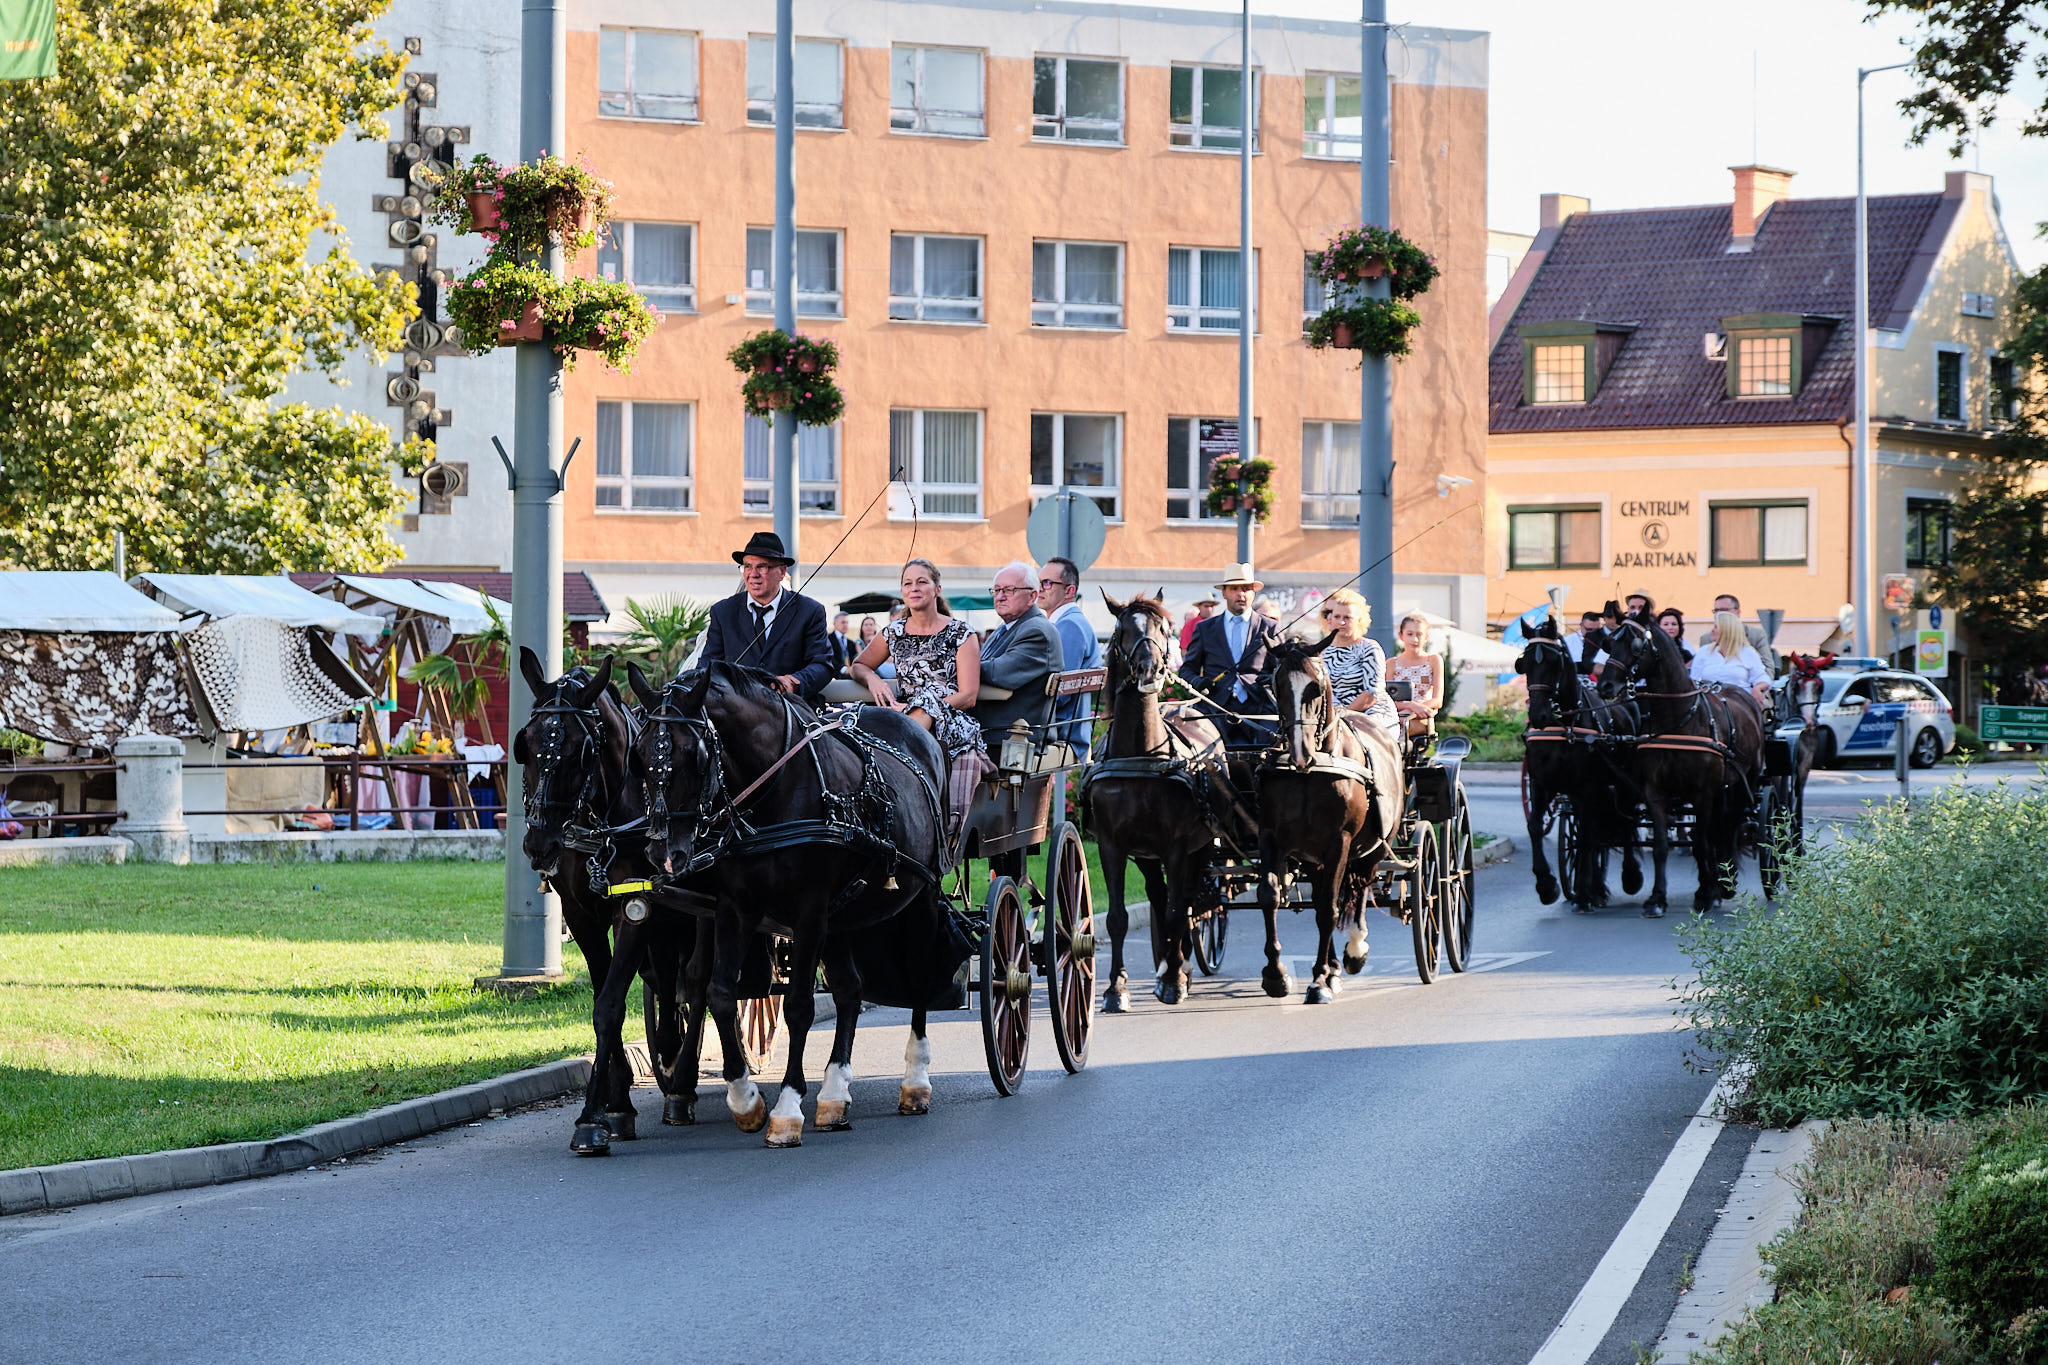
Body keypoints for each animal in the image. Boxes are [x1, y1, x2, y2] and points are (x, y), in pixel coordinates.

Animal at [507, 650, 708, 1154]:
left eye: (581, 749)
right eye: (525, 744)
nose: (538, 844)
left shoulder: (635, 908)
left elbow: (611, 1005)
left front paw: (592, 1116)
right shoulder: (582, 917)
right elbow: (603, 996)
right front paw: (616, 1104)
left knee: (700, 984)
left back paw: (681, 1085)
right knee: (669, 982)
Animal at [630, 663, 958, 1146]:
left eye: (695, 754)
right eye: (638, 755)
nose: (661, 851)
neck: (777, 790)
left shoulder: (809, 910)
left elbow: (799, 1005)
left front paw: (786, 1109)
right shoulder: (736, 907)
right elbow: (719, 992)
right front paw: (745, 1099)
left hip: (922, 900)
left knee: (918, 978)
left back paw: (915, 1082)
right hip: (843, 914)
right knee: (849, 988)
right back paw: (834, 1094)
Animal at [1089, 593, 1228, 1010]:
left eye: (1163, 628)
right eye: (1122, 629)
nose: (1148, 667)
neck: (1142, 756)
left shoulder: (1178, 847)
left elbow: (1175, 912)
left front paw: (1173, 980)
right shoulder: (1112, 845)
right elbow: (1117, 917)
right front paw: (1115, 988)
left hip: (1201, 847)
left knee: (1186, 902)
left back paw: (1179, 966)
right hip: (1147, 855)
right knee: (1160, 894)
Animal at [1253, 638, 1400, 1002]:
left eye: (1316, 688)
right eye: (1277, 686)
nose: (1300, 753)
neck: (1314, 768)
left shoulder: (1339, 841)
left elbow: (1328, 910)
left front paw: (1319, 980)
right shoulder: (1270, 836)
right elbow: (1270, 896)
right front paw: (1276, 974)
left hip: (1375, 847)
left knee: (1360, 887)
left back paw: (1354, 951)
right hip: (1314, 858)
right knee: (1326, 894)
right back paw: (1333, 967)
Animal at [1597, 618, 1761, 916]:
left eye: (1635, 645)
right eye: (1609, 642)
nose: (1605, 686)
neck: (1679, 720)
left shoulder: (1703, 794)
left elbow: (1700, 844)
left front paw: (1705, 894)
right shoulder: (1656, 793)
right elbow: (1662, 846)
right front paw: (1657, 898)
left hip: (1746, 784)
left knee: (1730, 825)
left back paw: (1725, 882)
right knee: (1718, 830)